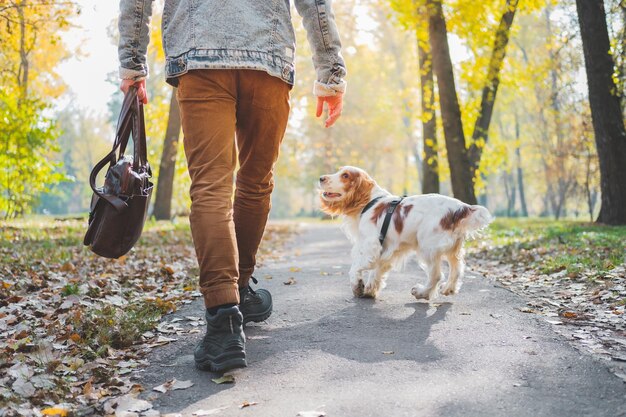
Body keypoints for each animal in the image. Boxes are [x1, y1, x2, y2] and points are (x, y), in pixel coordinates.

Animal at [320, 165, 490, 300]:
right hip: (453, 249)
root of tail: (461, 207)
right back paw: (449, 289)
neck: (369, 201)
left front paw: (358, 286)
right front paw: (370, 290)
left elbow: (355, 268)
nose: (321, 178)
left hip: (427, 247)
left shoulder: (370, 246)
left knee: (436, 275)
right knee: (457, 269)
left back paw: (421, 292)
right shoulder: (386, 250)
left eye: (345, 175)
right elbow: (377, 271)